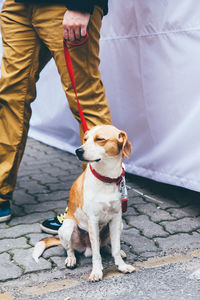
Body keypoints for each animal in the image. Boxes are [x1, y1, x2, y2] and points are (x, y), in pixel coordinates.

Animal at [32, 124, 136, 282]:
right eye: (85, 139)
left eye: (99, 139)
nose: (78, 150)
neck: (107, 178)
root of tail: (85, 248)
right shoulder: (93, 220)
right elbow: (96, 255)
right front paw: (97, 272)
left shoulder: (117, 218)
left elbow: (116, 248)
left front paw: (122, 266)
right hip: (67, 228)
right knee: (71, 249)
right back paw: (71, 259)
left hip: (119, 226)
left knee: (104, 246)